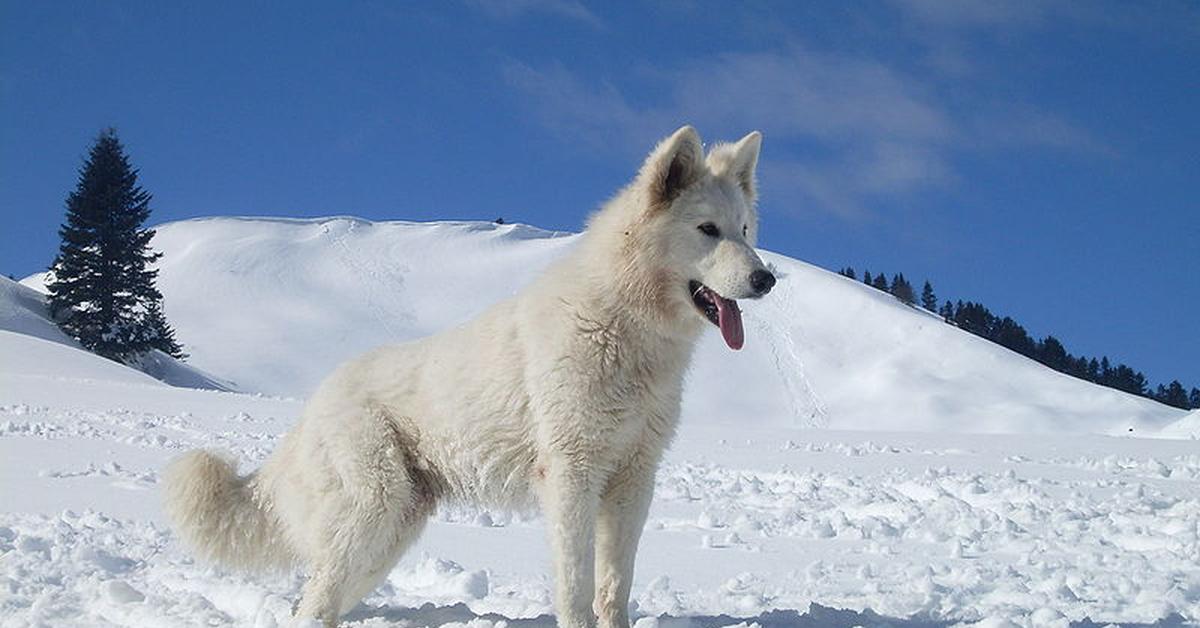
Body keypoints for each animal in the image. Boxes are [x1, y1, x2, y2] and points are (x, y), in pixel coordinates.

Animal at [162, 125, 777, 624]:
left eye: (746, 230)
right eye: (707, 229)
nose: (767, 279)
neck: (621, 324)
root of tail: (315, 403)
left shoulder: (632, 482)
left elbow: (613, 591)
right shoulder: (572, 477)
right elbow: (576, 589)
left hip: (389, 533)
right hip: (372, 513)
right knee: (311, 606)